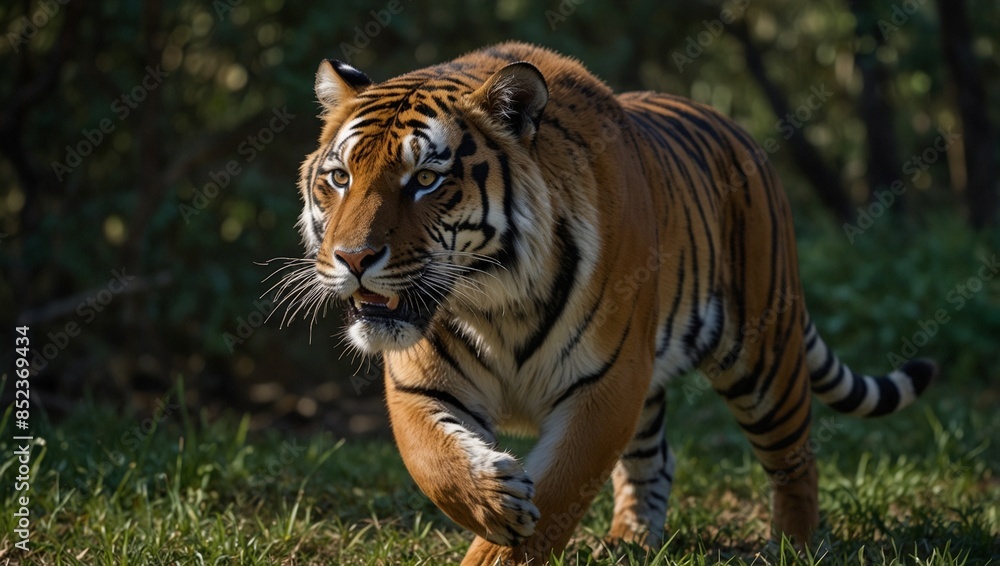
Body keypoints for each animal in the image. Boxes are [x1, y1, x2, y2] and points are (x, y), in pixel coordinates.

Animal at [291, 41, 936, 565]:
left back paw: (794, 546)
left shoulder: (605, 384)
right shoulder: (420, 384)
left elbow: (556, 498)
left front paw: (505, 539)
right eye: (340, 177)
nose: (353, 258)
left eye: (425, 179)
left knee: (796, 457)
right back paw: (630, 541)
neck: (493, 301)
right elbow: (434, 464)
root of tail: (738, 128)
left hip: (761, 356)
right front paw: (494, 500)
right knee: (655, 459)